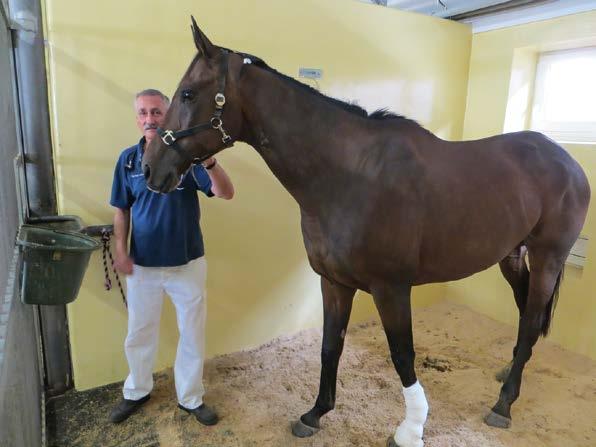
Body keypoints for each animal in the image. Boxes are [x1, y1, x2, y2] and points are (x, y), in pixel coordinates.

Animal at [141, 18, 592, 447]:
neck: (349, 177)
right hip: (511, 255)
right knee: (525, 315)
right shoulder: (334, 282)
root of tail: (566, 160)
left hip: (548, 258)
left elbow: (403, 355)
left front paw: (411, 429)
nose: (149, 168)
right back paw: (508, 375)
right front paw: (315, 414)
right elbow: (330, 346)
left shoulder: (390, 288)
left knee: (531, 319)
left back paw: (503, 405)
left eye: (187, 94)